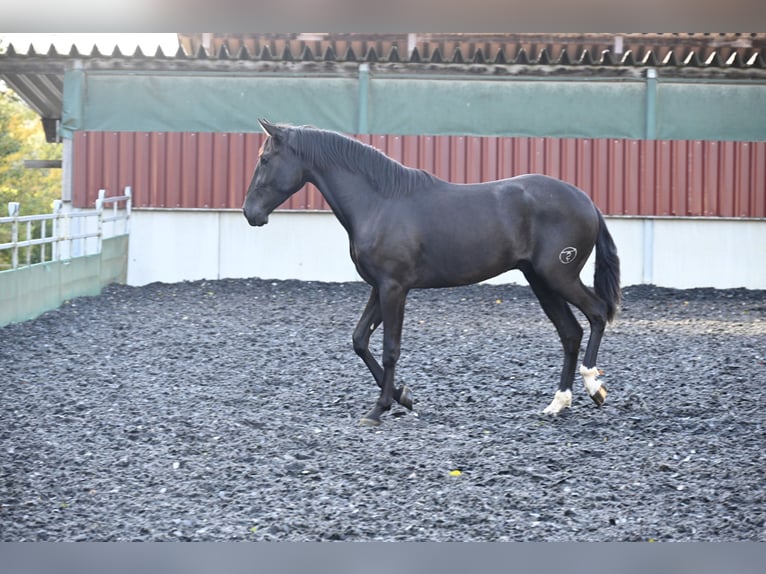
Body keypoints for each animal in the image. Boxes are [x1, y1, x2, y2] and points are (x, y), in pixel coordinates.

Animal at [243, 120, 620, 428]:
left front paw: (379, 409)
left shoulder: (394, 288)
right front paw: (404, 397)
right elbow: (359, 339)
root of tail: (587, 201)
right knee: (570, 333)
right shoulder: (379, 287)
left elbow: (390, 348)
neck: (379, 202)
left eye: (265, 159)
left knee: (597, 313)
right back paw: (558, 403)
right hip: (541, 282)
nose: (249, 213)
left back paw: (594, 387)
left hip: (559, 276)